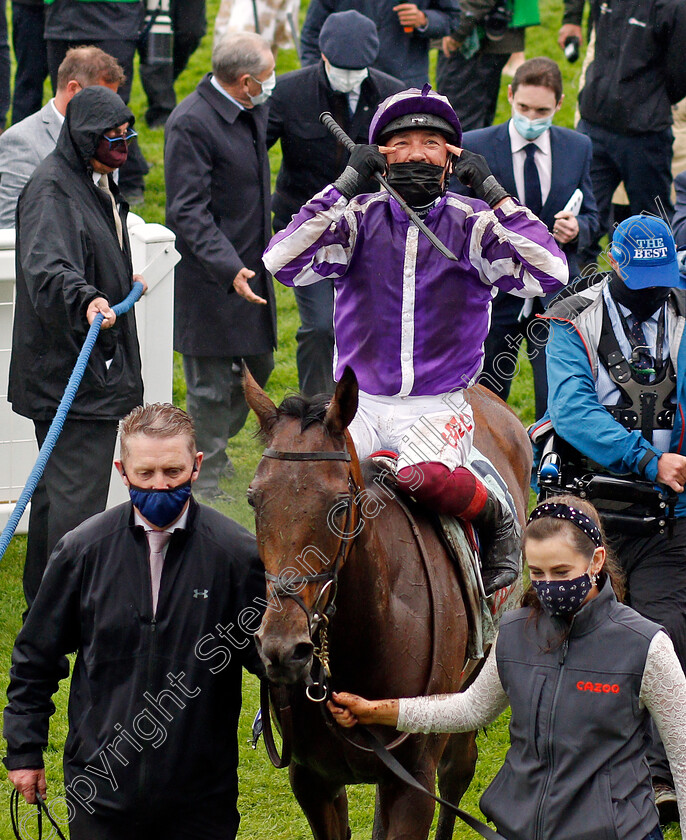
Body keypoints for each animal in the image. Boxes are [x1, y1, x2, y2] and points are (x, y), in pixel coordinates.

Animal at [247, 368, 532, 840]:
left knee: (459, 771)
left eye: (340, 505)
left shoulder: (414, 781)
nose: (283, 649)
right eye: (255, 498)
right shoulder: (312, 780)